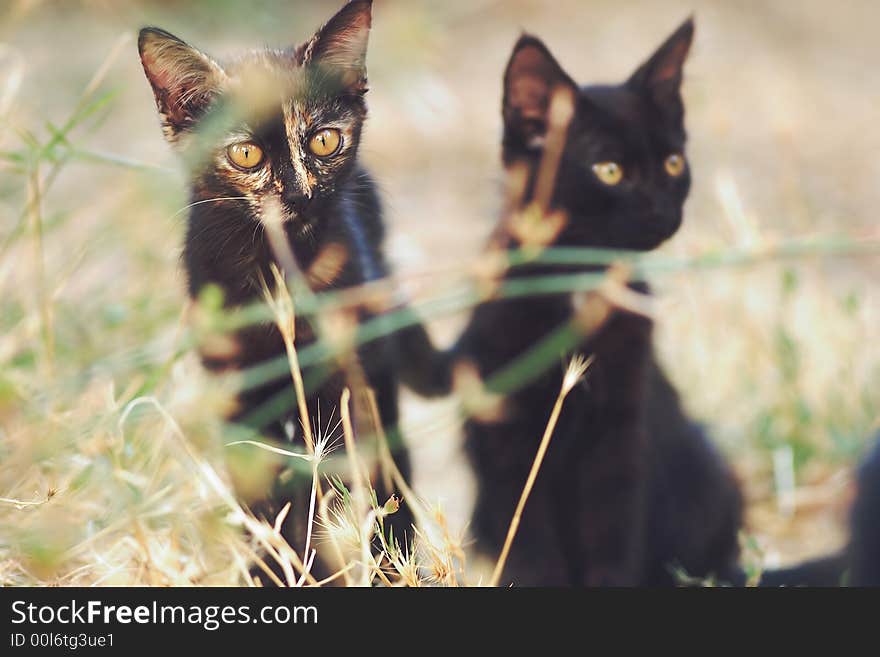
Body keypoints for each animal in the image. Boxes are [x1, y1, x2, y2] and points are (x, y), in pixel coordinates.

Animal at [139, 0, 438, 576]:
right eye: (245, 155)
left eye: (324, 140)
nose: (299, 196)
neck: (278, 274)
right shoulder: (239, 400)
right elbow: (266, 507)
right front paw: (277, 572)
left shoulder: (344, 388)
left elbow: (341, 490)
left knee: (391, 471)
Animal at [446, 19, 744, 584]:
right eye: (608, 170)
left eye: (674, 163)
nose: (664, 213)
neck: (577, 285)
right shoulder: (508, 445)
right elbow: (532, 546)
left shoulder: (619, 440)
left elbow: (612, 538)